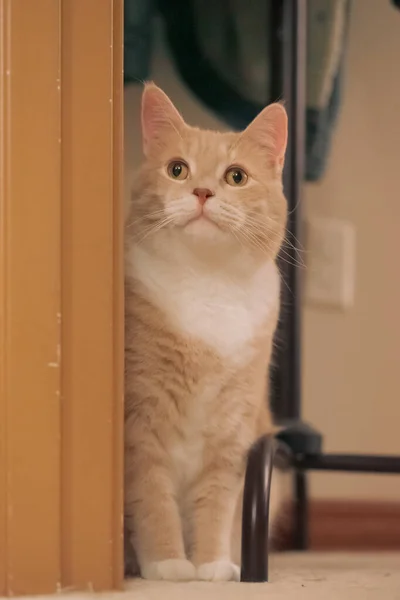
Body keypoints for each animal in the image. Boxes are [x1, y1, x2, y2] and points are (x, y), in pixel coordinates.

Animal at [124, 83, 288, 580]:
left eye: (236, 177)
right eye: (177, 169)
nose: (201, 191)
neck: (207, 285)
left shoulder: (232, 433)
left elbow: (217, 505)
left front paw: (213, 565)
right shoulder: (141, 424)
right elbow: (153, 500)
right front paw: (169, 564)